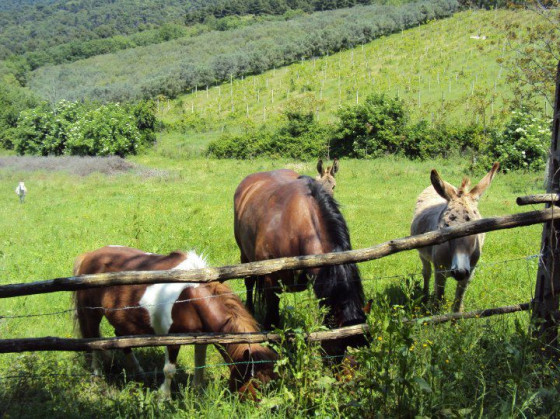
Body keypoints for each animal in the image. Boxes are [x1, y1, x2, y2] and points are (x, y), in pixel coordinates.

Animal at [72, 248, 278, 398]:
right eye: (258, 384)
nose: (270, 409)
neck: (190, 297)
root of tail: (88, 256)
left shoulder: (200, 338)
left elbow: (200, 365)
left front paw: (197, 394)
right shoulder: (172, 339)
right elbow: (169, 370)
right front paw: (164, 398)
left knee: (123, 341)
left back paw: (140, 373)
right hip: (91, 315)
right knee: (93, 341)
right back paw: (97, 376)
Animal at [412, 162, 498, 314]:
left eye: (477, 226)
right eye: (445, 226)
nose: (460, 271)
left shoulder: (469, 274)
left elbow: (458, 303)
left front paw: (456, 319)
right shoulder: (440, 273)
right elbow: (439, 300)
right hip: (423, 254)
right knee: (426, 273)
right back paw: (425, 296)